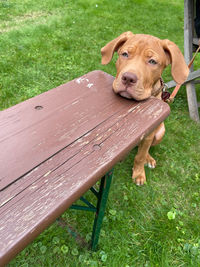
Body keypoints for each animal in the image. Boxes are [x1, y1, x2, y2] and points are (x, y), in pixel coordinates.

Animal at [101, 31, 189, 186]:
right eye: (124, 54)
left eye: (152, 61)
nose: (128, 78)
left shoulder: (149, 134)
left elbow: (140, 156)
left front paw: (138, 174)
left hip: (160, 133)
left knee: (145, 149)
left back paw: (149, 158)